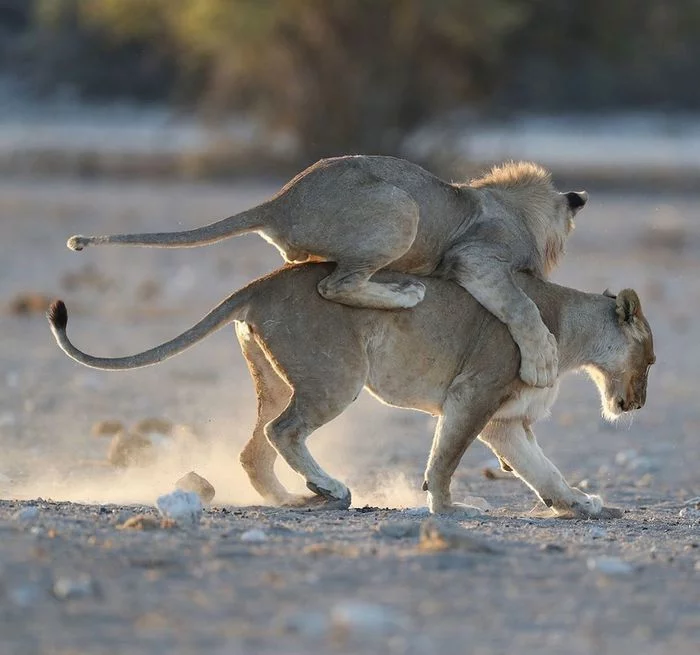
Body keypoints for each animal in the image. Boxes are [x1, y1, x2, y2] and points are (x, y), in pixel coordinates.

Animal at [46, 264, 652, 520]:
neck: (569, 336)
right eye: (649, 360)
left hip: (278, 379)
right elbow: (445, 458)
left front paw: (580, 503)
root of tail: (260, 284)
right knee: (283, 430)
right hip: (337, 376)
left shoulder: (504, 420)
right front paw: (447, 507)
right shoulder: (473, 395)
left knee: (254, 450)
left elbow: (544, 471)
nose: (641, 404)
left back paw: (293, 498)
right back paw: (331, 488)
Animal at [68, 156, 588, 386]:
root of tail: (278, 202)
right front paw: (542, 362)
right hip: (400, 208)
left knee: (320, 271)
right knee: (335, 283)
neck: (517, 206)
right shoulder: (474, 257)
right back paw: (403, 293)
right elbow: (522, 307)